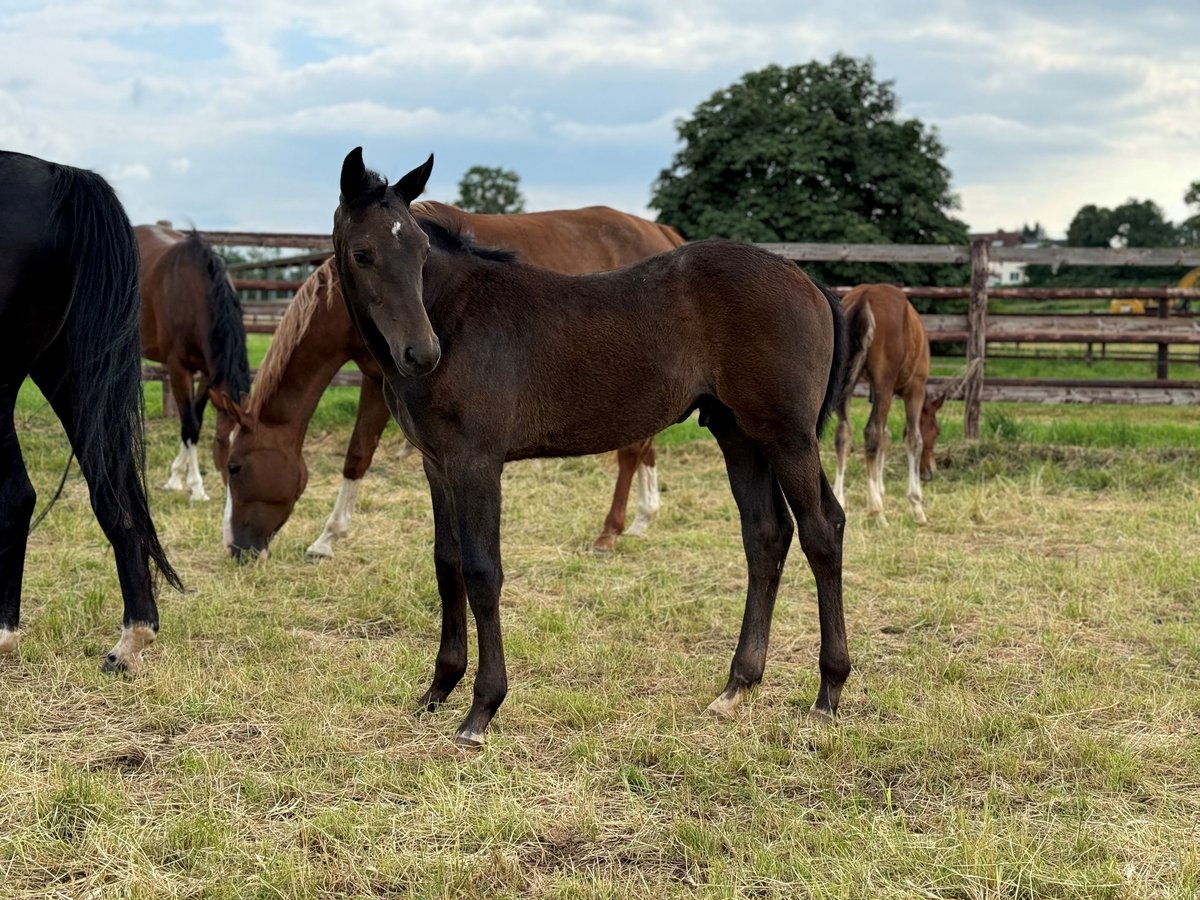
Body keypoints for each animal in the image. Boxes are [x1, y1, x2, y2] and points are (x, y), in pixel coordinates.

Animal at [136, 223, 248, 504]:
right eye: (220, 441)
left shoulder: (209, 374)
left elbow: (196, 418)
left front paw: (177, 477)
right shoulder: (178, 369)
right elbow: (190, 424)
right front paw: (196, 487)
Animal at [217, 204, 686, 561]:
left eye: (236, 467)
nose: (235, 548)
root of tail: (661, 232)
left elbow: (358, 456)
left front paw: (328, 538)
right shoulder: (380, 381)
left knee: (632, 450)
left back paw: (610, 531)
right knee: (643, 445)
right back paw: (643, 518)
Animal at [331, 151, 854, 748]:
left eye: (420, 250)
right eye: (363, 253)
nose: (421, 353)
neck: (458, 316)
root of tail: (809, 281)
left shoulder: (476, 464)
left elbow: (483, 572)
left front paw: (481, 710)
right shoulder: (437, 464)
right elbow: (448, 564)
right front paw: (438, 689)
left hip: (788, 436)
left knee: (821, 530)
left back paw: (828, 693)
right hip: (739, 434)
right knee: (766, 536)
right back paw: (737, 687)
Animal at [830, 285, 940, 525]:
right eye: (937, 431)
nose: (930, 472)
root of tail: (864, 297)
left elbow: (886, 435)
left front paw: (880, 488)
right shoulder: (914, 389)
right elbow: (913, 439)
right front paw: (916, 504)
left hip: (848, 382)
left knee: (844, 433)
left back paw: (840, 499)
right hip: (885, 385)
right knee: (871, 433)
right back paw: (876, 510)